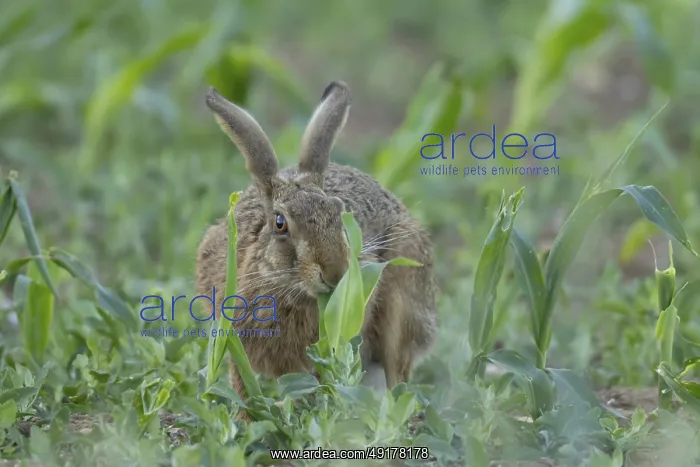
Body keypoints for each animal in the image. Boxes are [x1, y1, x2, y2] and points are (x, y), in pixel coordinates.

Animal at [195, 80, 437, 408]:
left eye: (340, 214)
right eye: (280, 223)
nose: (336, 273)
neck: (289, 288)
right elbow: (242, 383)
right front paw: (248, 416)